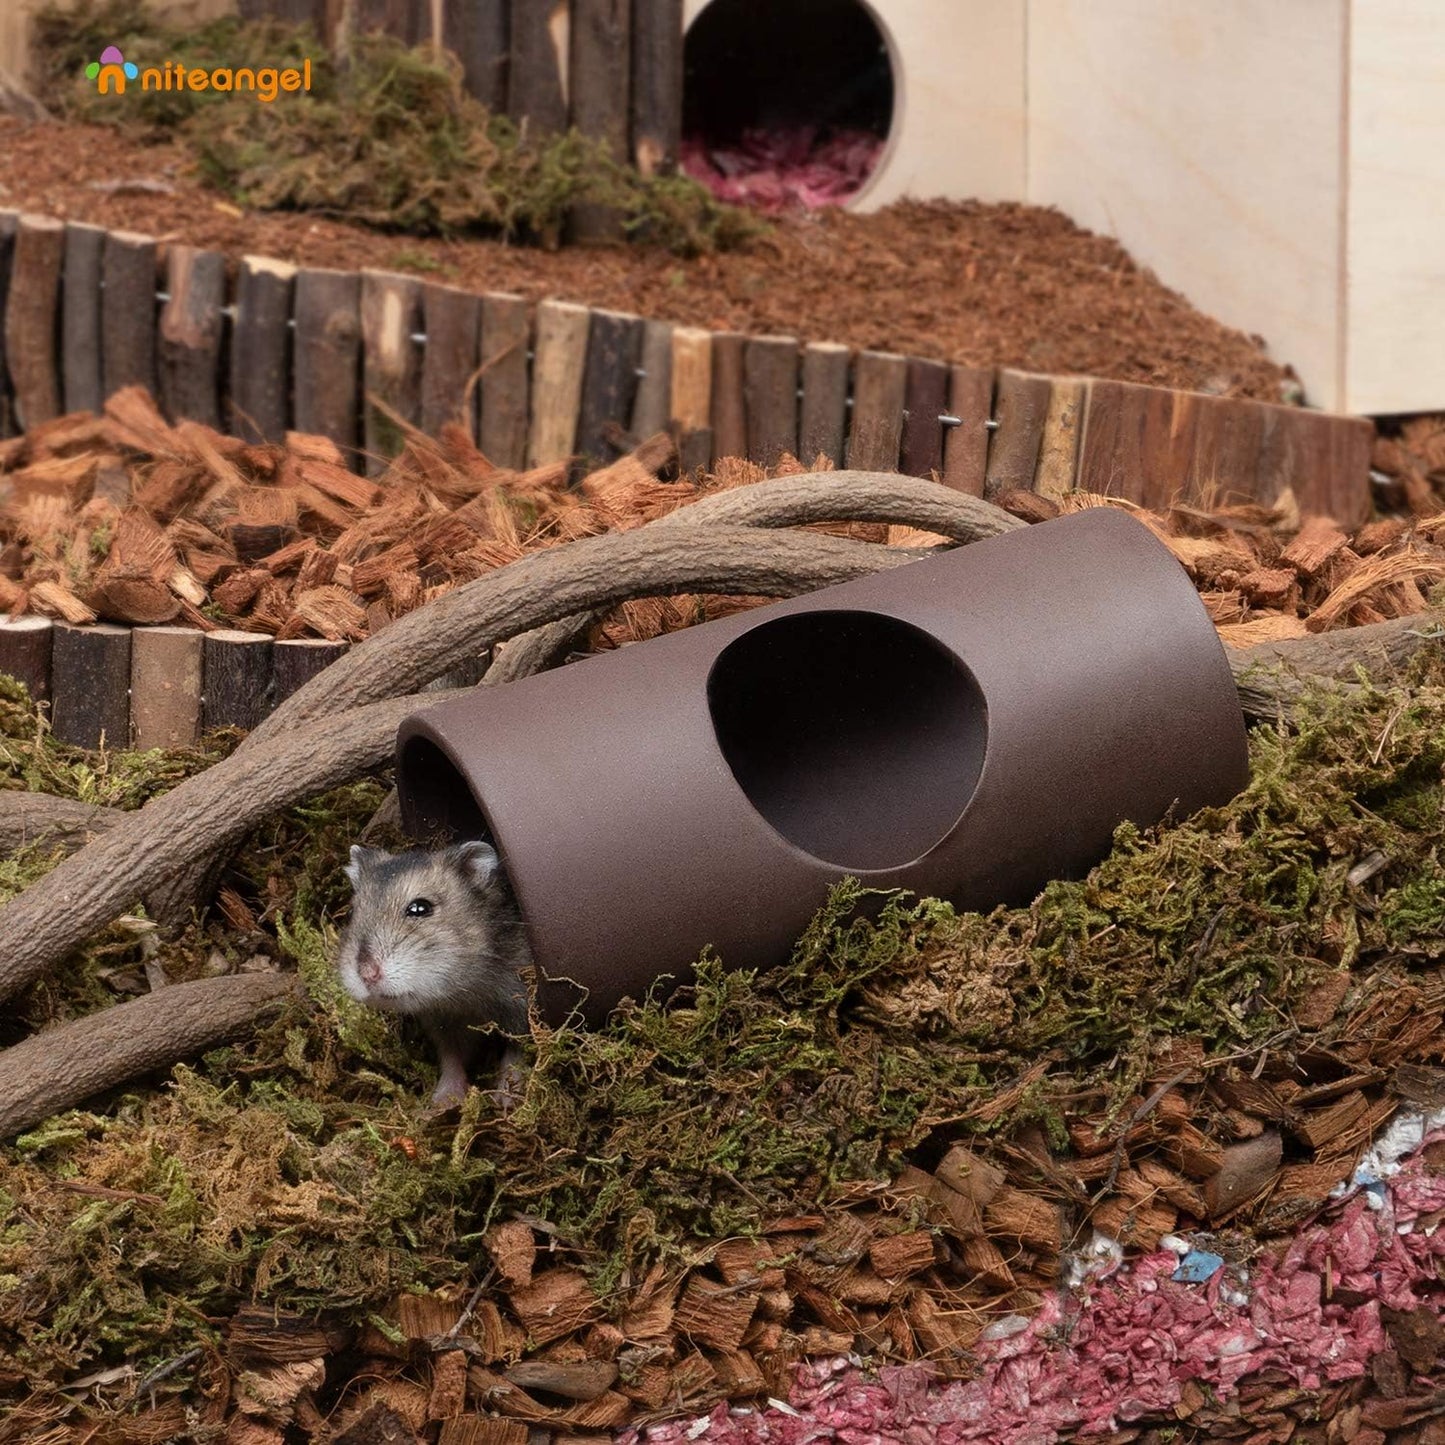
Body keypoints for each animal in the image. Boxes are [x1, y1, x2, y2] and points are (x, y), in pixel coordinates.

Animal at [337, 841, 532, 1107]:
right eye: (350, 912)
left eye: (420, 908)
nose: (367, 974)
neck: (465, 991)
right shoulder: (442, 1022)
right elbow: (451, 1057)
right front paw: (440, 1103)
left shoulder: (521, 1007)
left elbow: (516, 1053)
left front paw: (506, 1100)